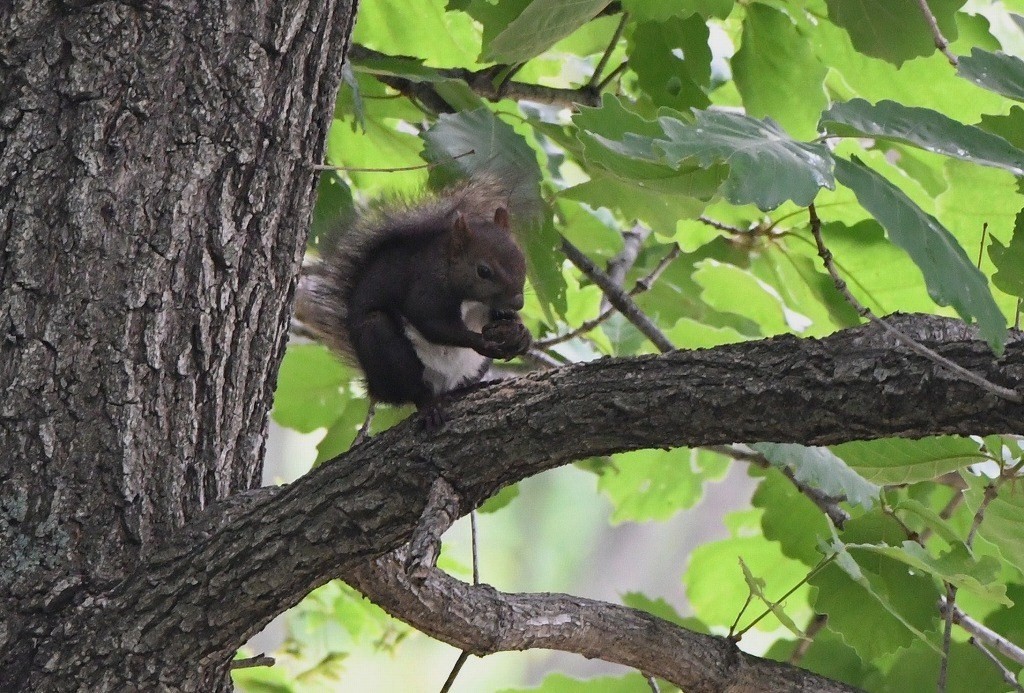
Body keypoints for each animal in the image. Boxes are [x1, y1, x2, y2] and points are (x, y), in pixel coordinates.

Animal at [294, 177, 532, 427]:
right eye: (483, 271)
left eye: (522, 259)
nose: (518, 302)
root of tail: (375, 385)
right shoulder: (425, 287)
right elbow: (432, 323)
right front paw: (481, 341)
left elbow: (502, 316)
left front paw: (522, 335)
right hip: (386, 348)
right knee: (413, 390)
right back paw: (429, 405)